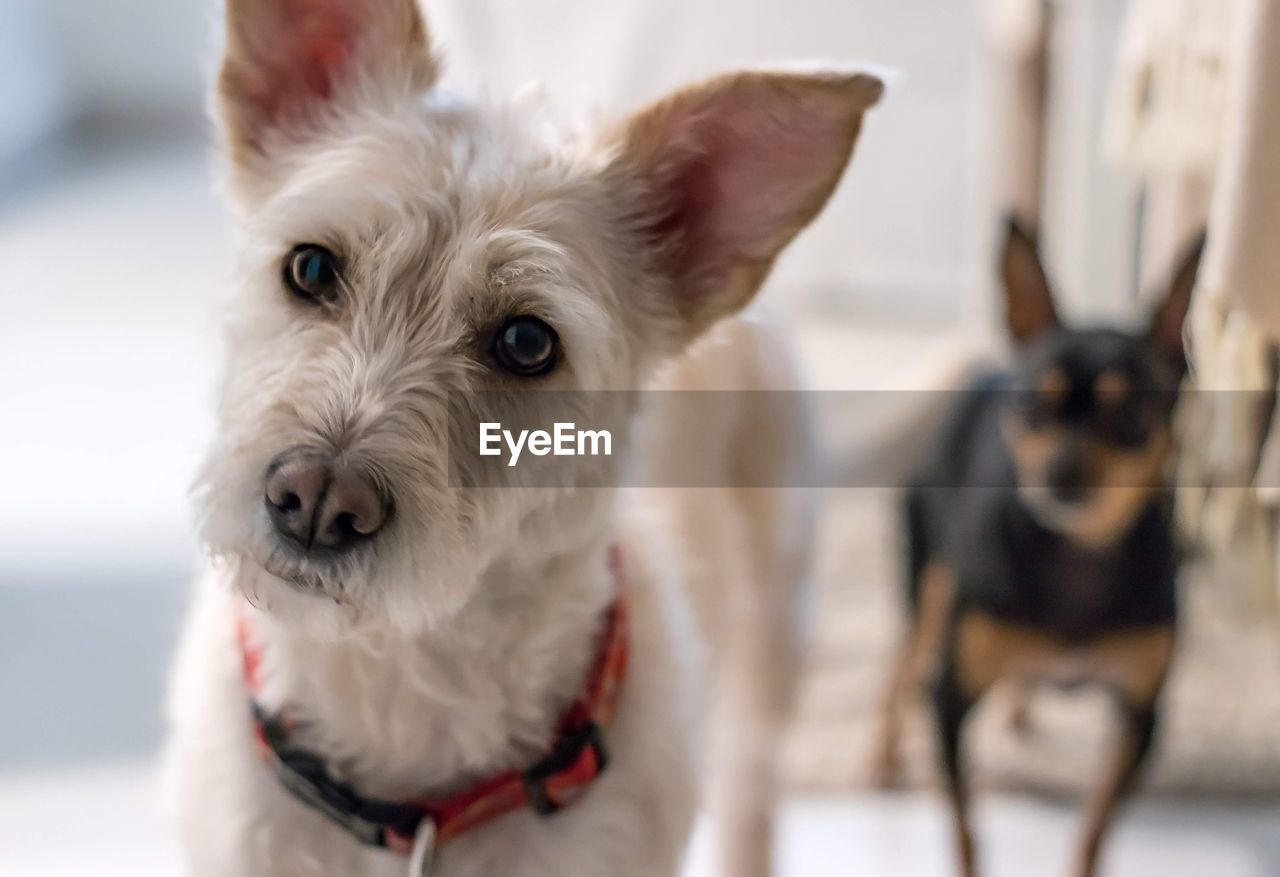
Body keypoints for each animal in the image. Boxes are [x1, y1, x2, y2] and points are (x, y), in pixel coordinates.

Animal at [875, 217, 1203, 875]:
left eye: (1131, 415)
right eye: (1030, 403)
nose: (1060, 469)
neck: (1077, 556)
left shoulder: (1140, 719)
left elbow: (1095, 828)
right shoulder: (949, 701)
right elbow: (966, 832)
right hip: (927, 589)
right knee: (898, 669)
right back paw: (883, 756)